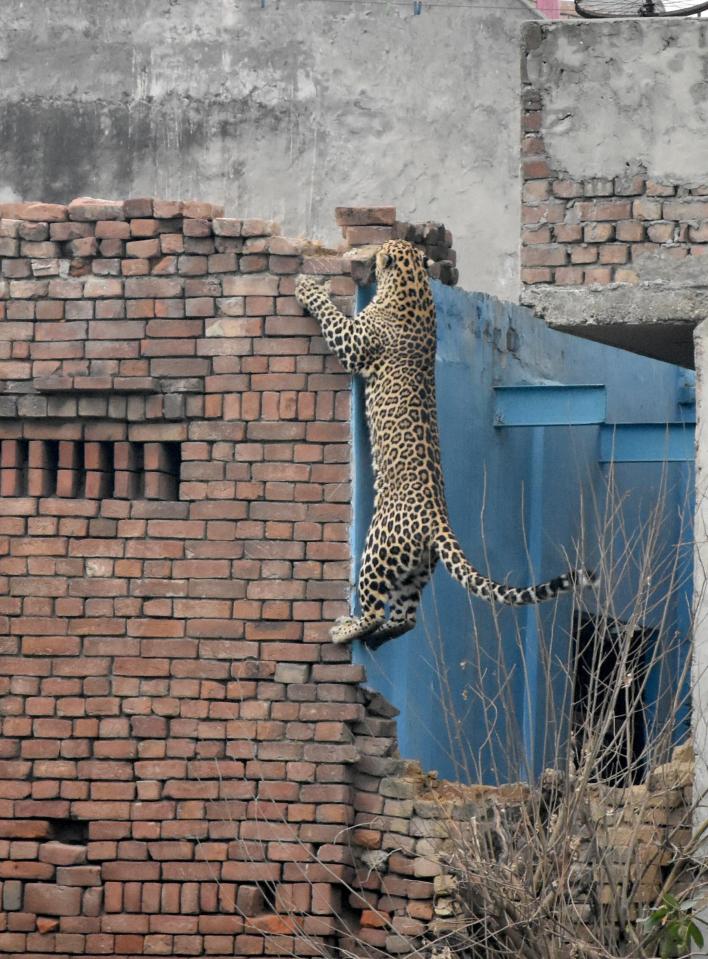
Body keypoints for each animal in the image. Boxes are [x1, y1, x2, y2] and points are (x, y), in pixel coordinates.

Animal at [294, 238, 596, 652]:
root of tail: (436, 521)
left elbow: (332, 318)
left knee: (375, 608)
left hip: (377, 550)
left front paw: (308, 286)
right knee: (405, 618)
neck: (414, 284)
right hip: (416, 572)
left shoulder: (355, 342)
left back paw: (346, 629)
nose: (374, 253)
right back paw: (378, 638)